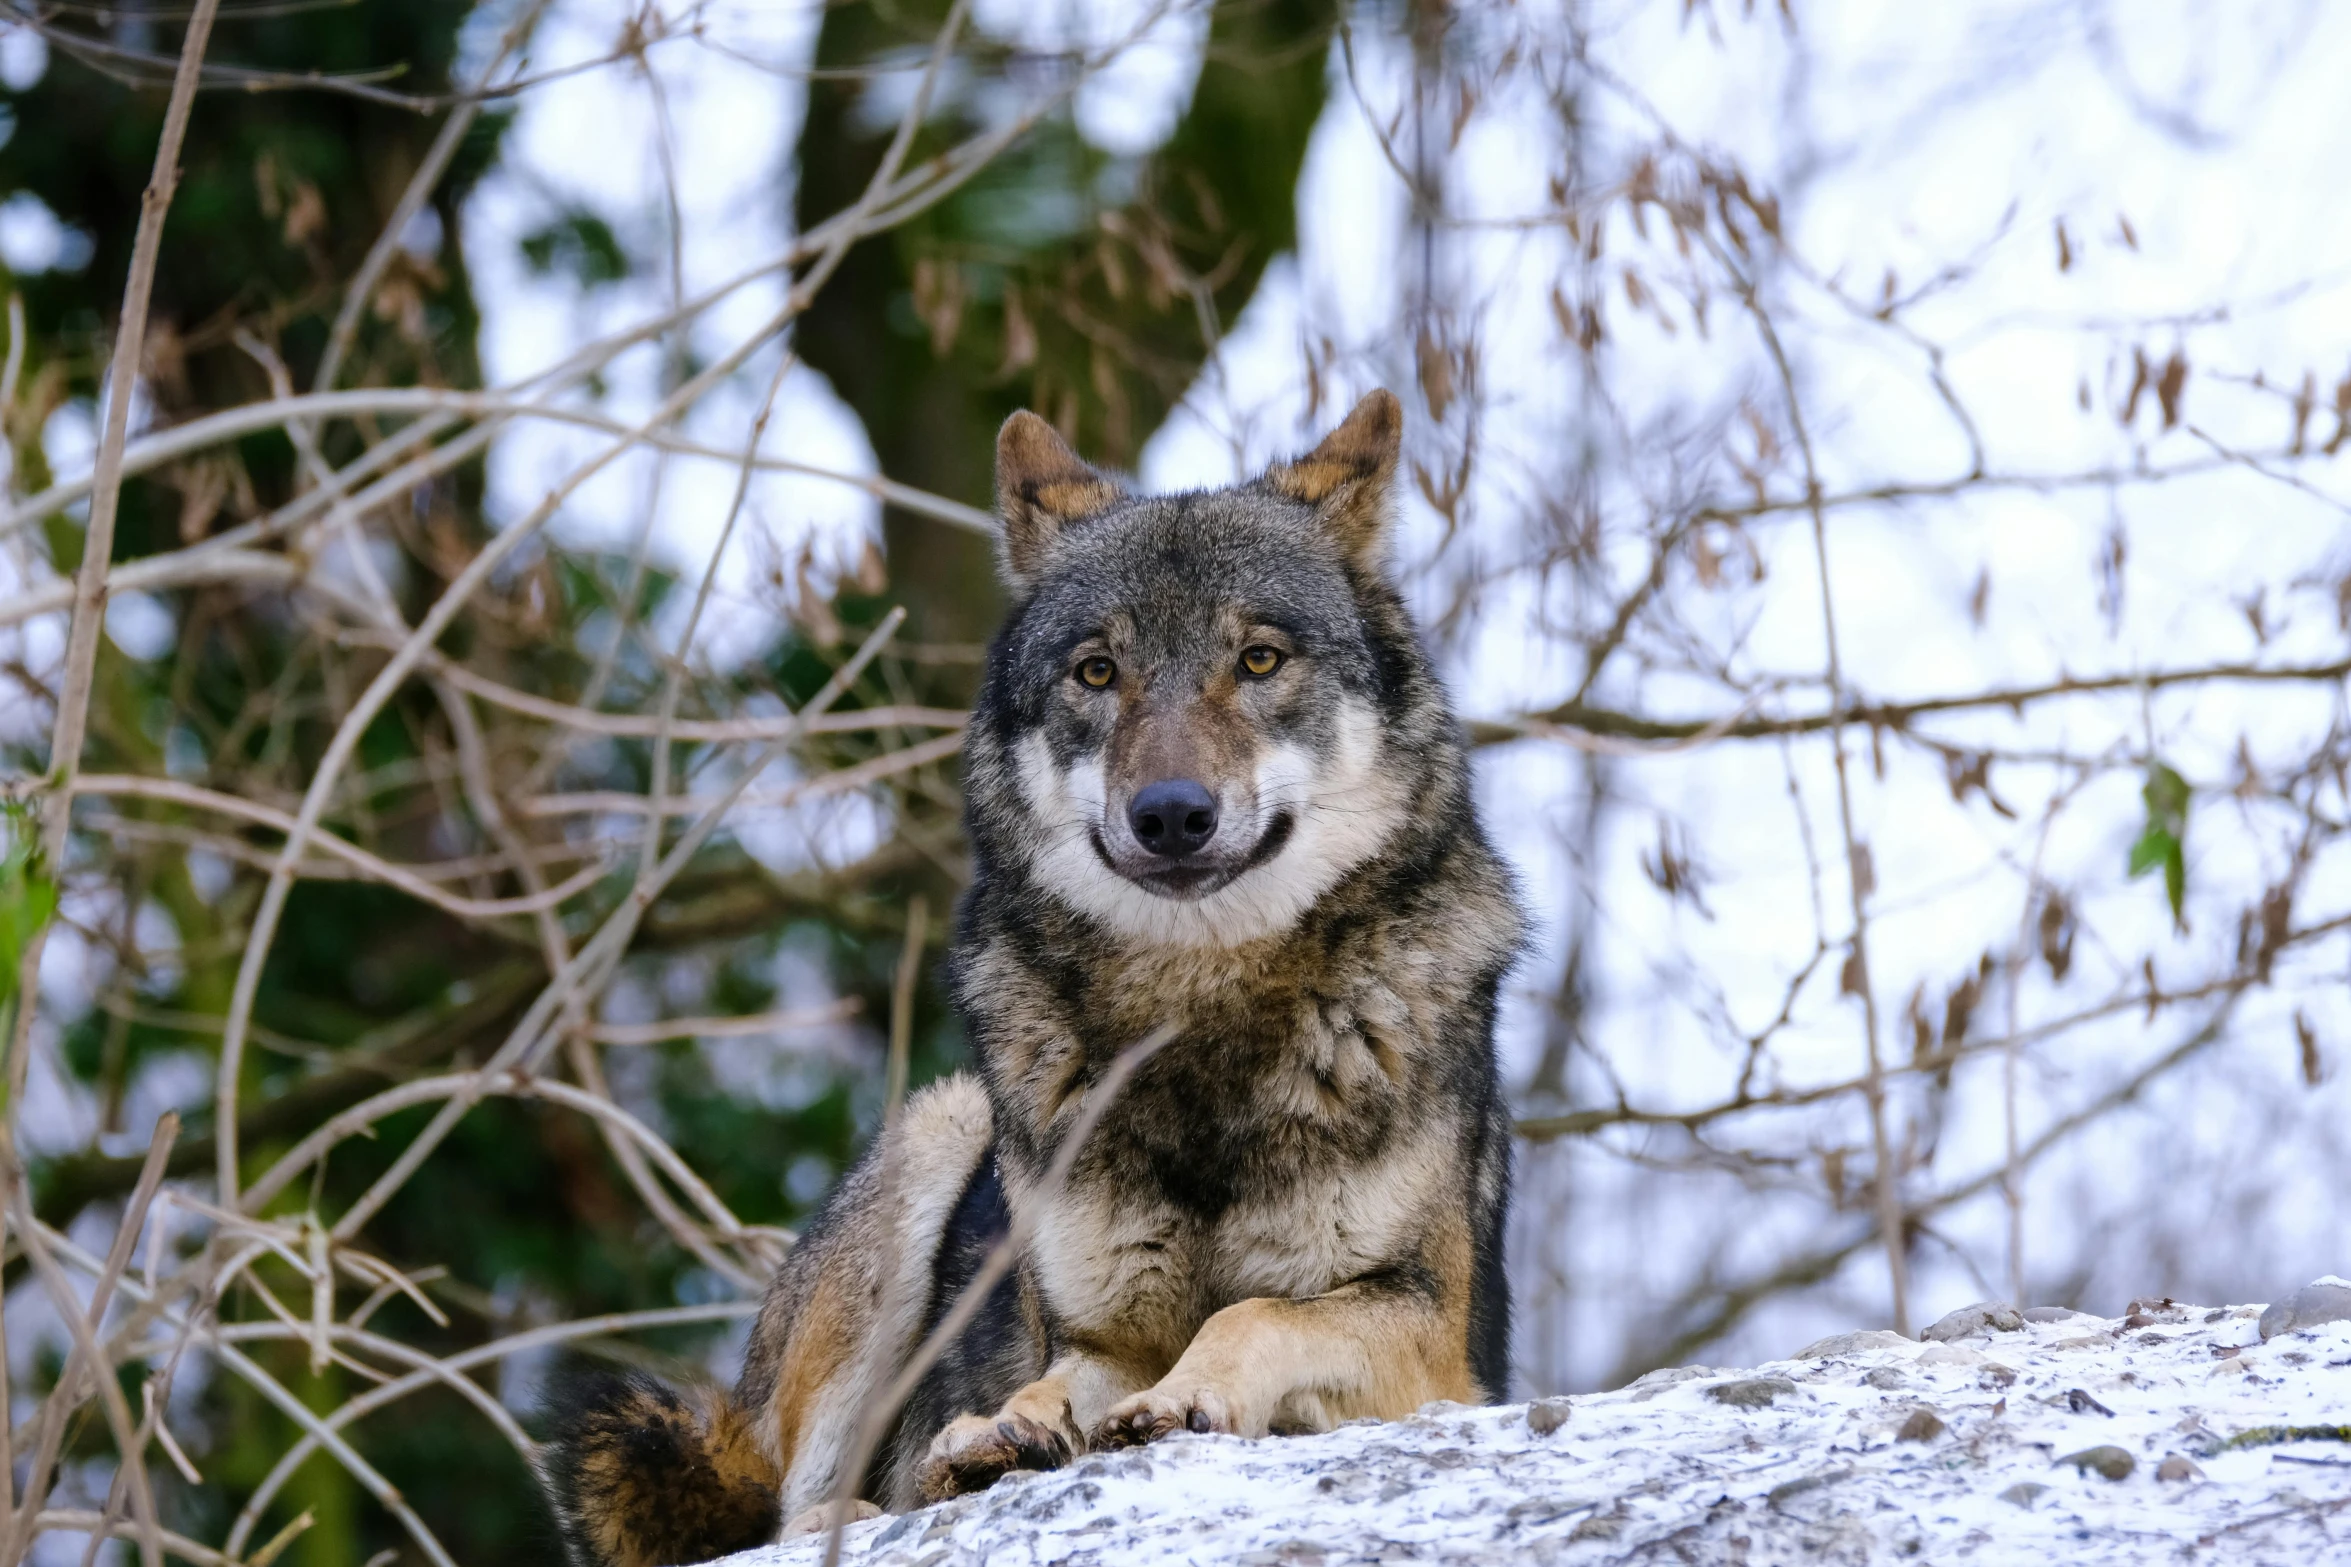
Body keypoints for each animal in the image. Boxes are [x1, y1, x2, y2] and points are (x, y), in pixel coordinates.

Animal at [538, 392, 1514, 1567]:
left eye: (1258, 659)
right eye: (1096, 672)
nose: (1170, 813)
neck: (1198, 1015)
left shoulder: (1434, 1344)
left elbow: (1254, 1314)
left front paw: (1181, 1397)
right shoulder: (1093, 1329)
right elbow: (1054, 1378)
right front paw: (1004, 1429)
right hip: (936, 1133)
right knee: (790, 1500)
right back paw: (868, 1501)